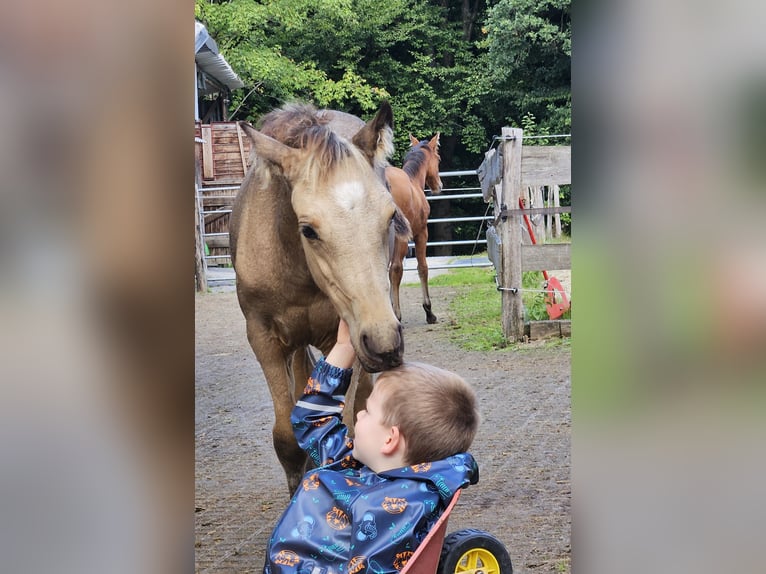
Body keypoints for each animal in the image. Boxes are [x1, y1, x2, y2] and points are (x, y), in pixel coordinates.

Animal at [229, 102, 411, 495]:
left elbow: (344, 424)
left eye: (390, 216)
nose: (385, 342)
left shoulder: (342, 339)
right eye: (308, 230)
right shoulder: (263, 337)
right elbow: (286, 437)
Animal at [385, 133, 443, 324]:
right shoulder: (421, 233)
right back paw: (397, 315)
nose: (439, 185)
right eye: (438, 159)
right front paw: (429, 311)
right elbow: (422, 268)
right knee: (395, 270)